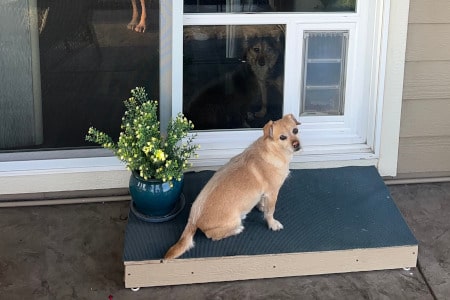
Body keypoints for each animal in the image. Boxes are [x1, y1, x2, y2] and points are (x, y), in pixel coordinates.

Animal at [163, 113, 300, 258]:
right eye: (282, 137)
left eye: (295, 131)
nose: (297, 144)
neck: (273, 150)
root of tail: (193, 220)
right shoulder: (273, 193)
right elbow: (270, 211)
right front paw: (272, 223)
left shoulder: (265, 194)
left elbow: (262, 203)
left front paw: (261, 206)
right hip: (233, 221)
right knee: (212, 235)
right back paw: (237, 229)